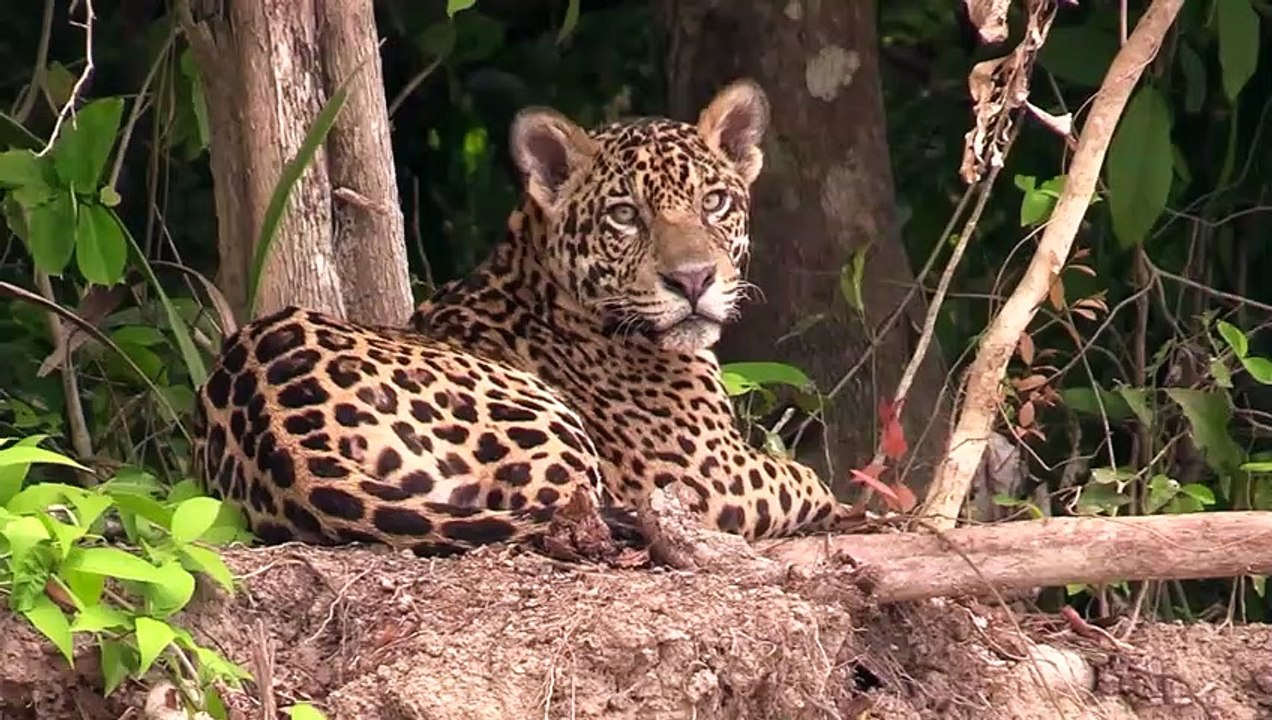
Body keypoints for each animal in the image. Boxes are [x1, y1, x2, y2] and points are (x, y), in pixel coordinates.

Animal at [191, 79, 851, 557]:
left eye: (713, 202)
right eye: (624, 216)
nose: (693, 281)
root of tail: (287, 449)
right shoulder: (712, 473)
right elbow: (809, 478)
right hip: (552, 430)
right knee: (567, 516)